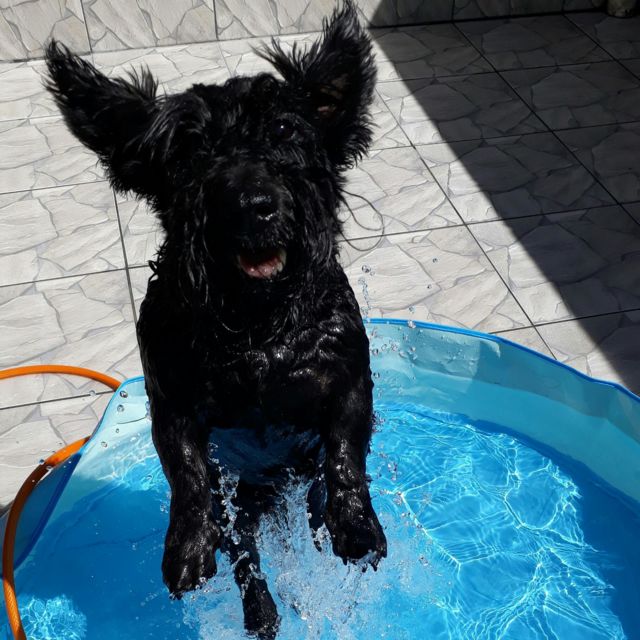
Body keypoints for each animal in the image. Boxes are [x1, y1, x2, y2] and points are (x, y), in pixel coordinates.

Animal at [45, 2, 386, 637]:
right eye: (188, 153)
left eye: (284, 134)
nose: (252, 205)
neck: (257, 321)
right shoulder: (171, 399)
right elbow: (187, 473)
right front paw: (186, 545)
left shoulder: (347, 376)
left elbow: (346, 450)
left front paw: (357, 523)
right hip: (241, 513)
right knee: (247, 561)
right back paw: (262, 612)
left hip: (301, 488)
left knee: (314, 512)